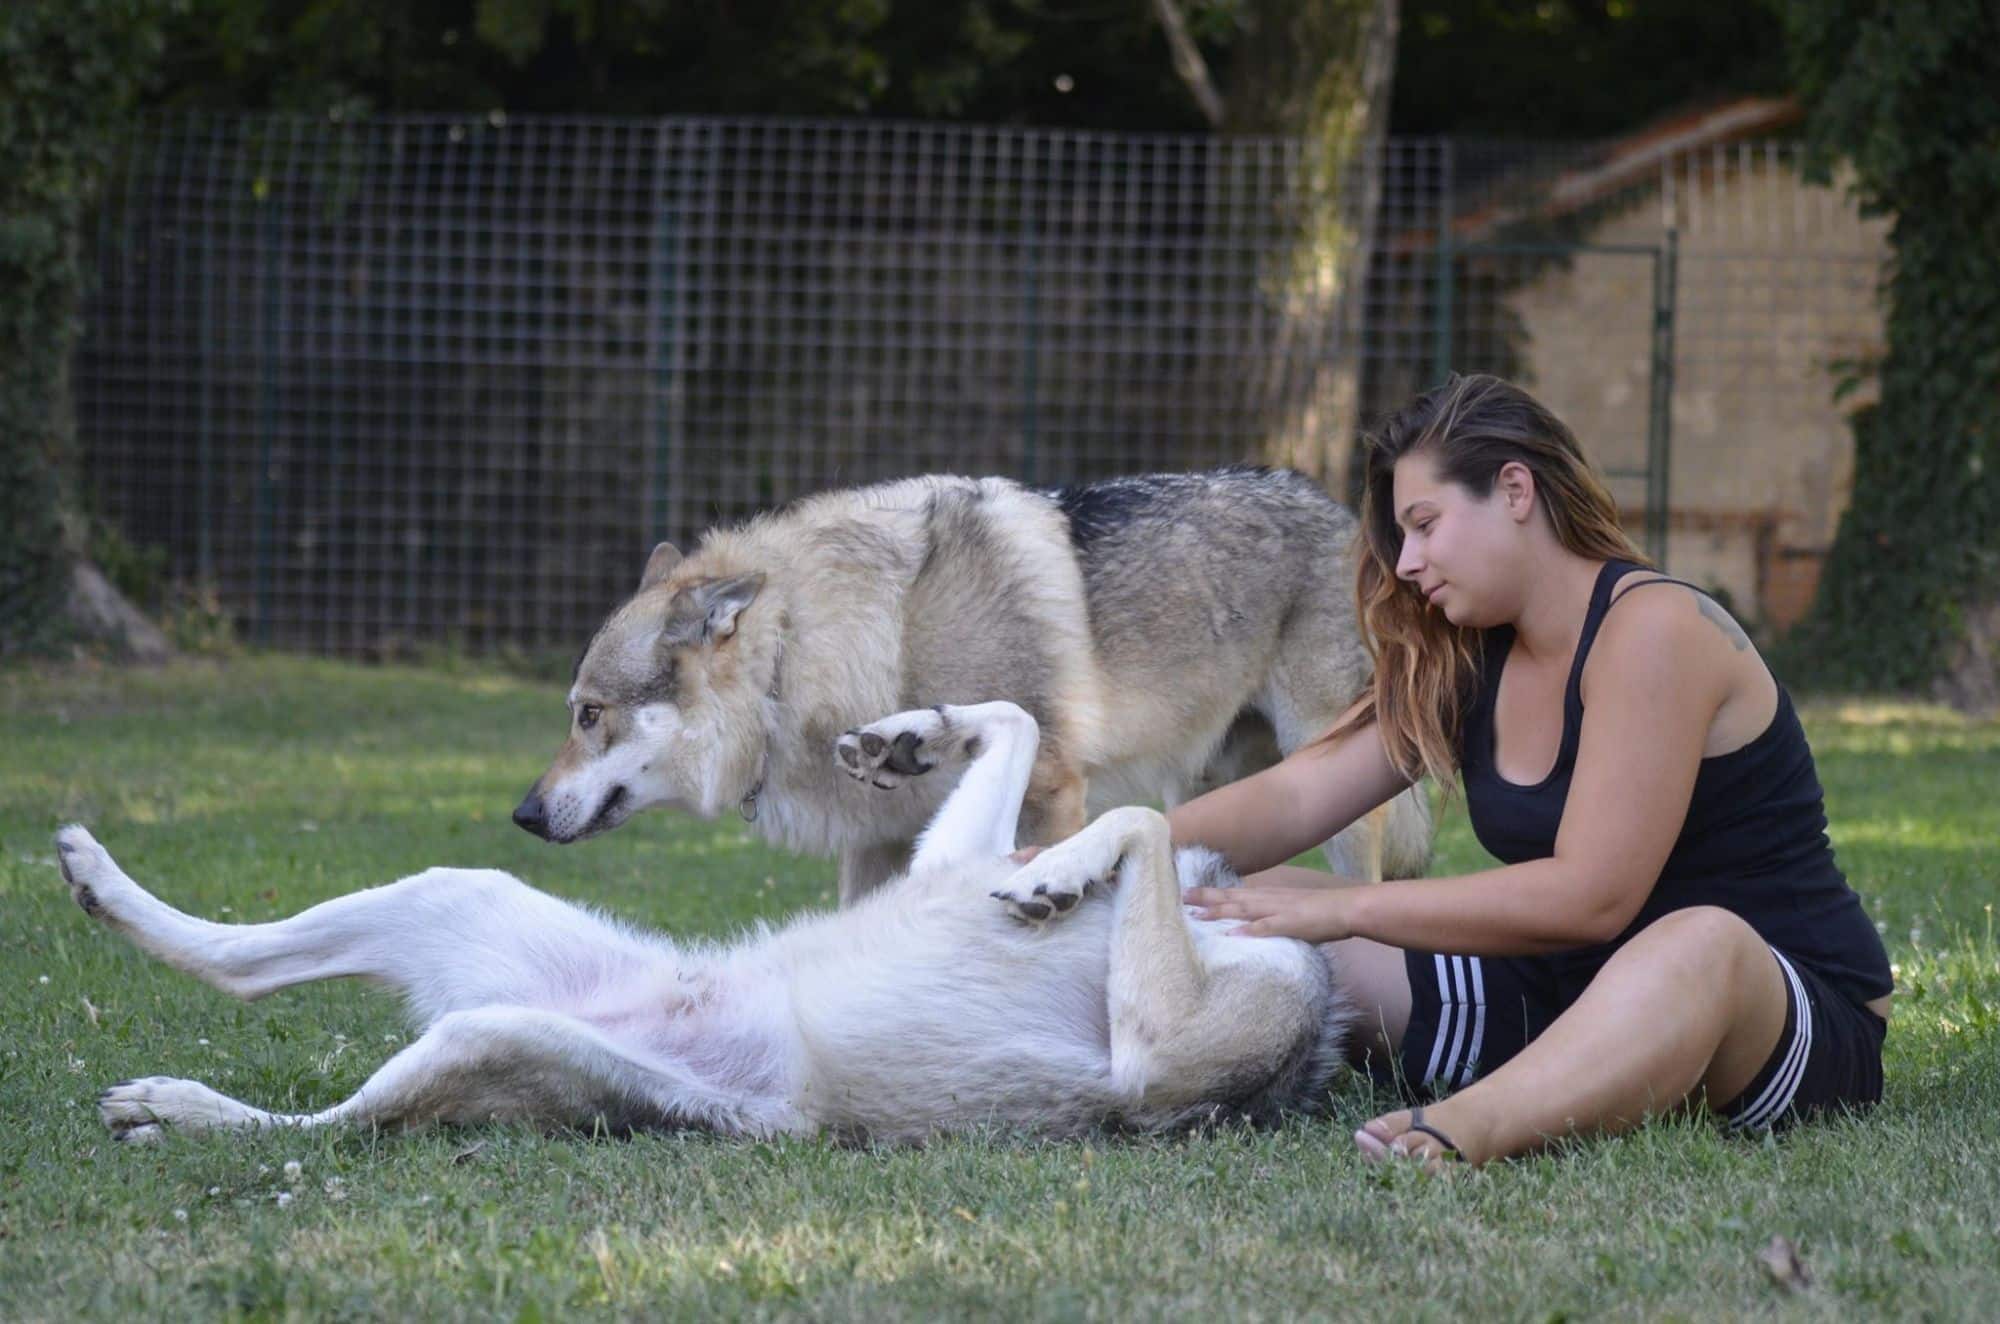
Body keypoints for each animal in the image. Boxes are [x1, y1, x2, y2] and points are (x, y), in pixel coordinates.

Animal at [62, 700, 1352, 1144]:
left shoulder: (1156, 1064)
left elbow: (1139, 812)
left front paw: (1066, 871)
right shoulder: (948, 859)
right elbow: (1025, 724)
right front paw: (913, 734)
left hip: (495, 1037)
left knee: (314, 1129)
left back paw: (174, 1108)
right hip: (461, 901)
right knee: (240, 967)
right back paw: (97, 880)